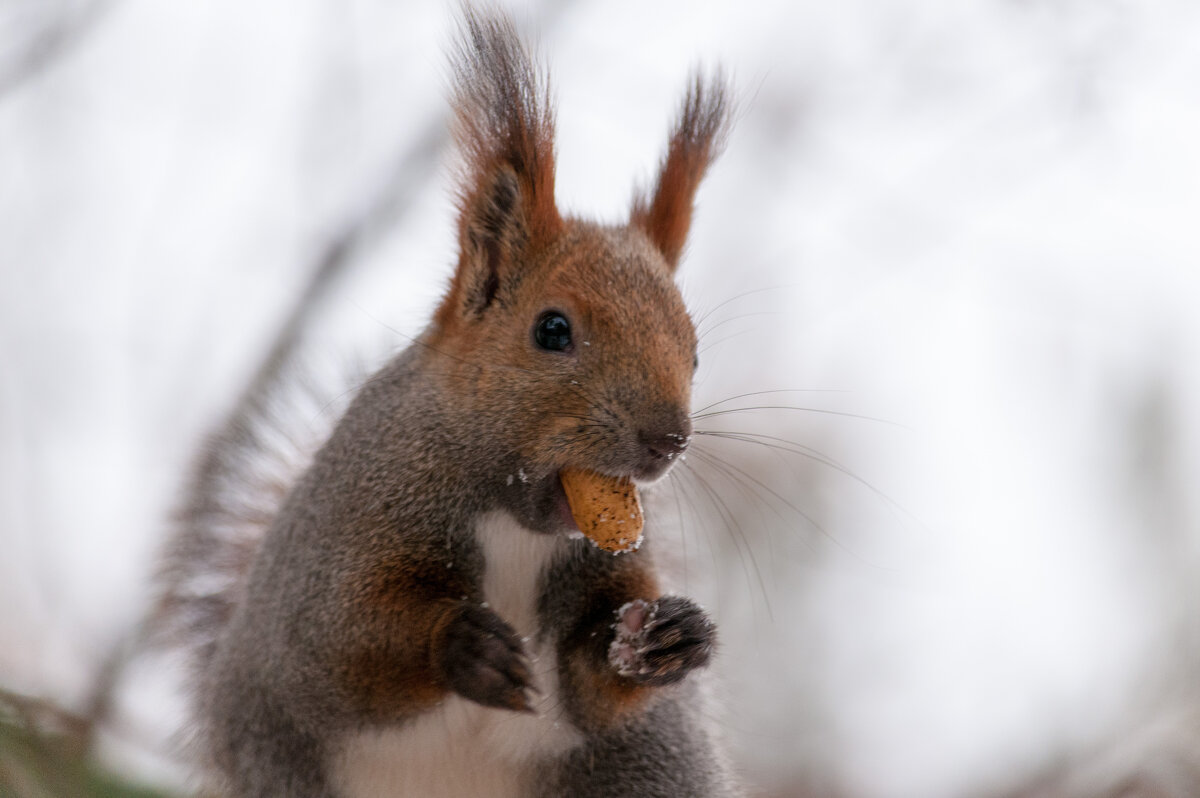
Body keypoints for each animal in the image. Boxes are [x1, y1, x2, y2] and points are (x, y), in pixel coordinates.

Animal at [159, 7, 739, 796]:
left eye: (696, 352)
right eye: (552, 330)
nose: (668, 440)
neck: (517, 526)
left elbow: (593, 687)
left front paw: (673, 638)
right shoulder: (332, 555)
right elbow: (340, 651)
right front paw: (461, 644)